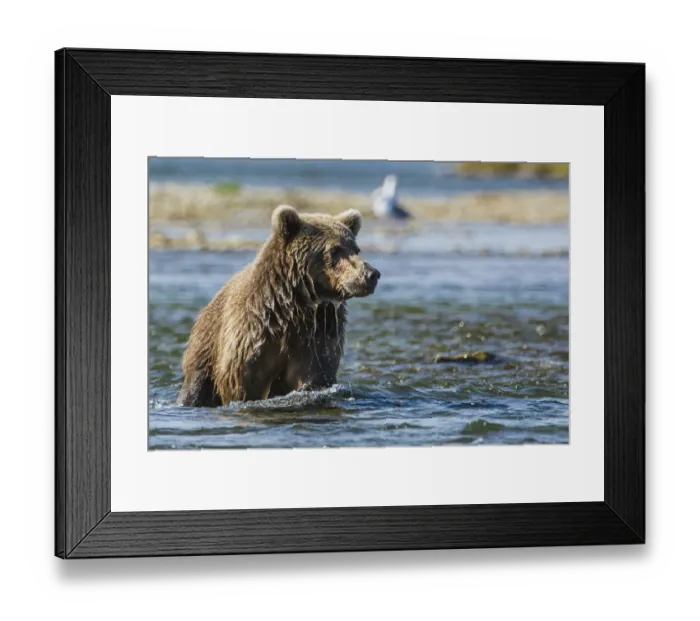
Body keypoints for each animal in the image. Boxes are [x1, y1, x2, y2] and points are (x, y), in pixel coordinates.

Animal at [177, 205, 381, 406]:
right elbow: (242, 383)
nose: (372, 274)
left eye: (356, 249)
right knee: (196, 386)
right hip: (206, 348)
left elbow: (316, 375)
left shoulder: (318, 334)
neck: (294, 307)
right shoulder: (254, 337)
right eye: (335, 250)